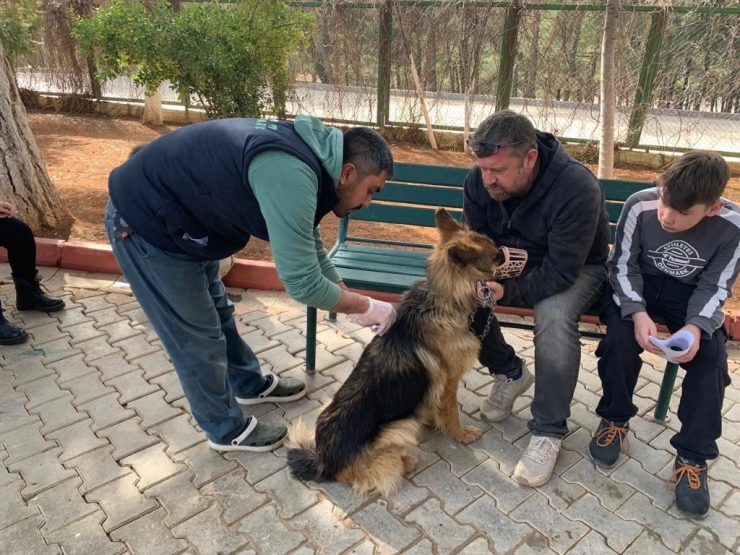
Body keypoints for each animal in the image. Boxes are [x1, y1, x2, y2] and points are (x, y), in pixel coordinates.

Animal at [286, 210, 500, 500]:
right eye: (495, 256)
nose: (507, 253)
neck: (443, 297)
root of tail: (321, 460)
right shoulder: (450, 381)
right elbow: (451, 411)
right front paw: (460, 434)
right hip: (398, 428)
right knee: (370, 472)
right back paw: (404, 462)